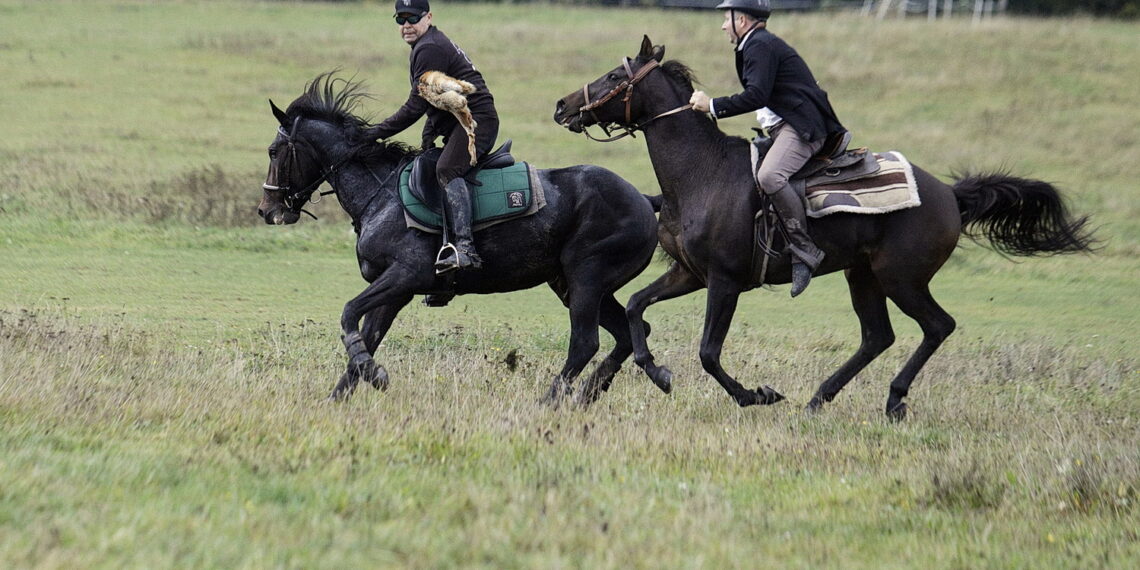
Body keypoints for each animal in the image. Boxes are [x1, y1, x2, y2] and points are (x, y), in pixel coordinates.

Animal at [254, 73, 656, 405]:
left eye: (273, 152)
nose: (266, 209)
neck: (381, 194)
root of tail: (643, 199)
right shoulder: (394, 291)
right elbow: (366, 336)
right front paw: (341, 394)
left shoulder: (403, 277)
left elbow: (349, 313)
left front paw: (375, 373)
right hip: (574, 284)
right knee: (626, 334)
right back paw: (599, 391)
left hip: (586, 277)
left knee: (585, 342)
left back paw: (551, 400)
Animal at [551, 36, 1094, 419]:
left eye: (611, 75)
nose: (562, 106)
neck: (701, 172)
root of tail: (948, 194)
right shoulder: (690, 274)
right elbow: (637, 308)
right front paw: (658, 372)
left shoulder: (725, 282)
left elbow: (708, 353)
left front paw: (756, 395)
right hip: (863, 276)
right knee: (877, 337)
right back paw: (819, 399)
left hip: (902, 278)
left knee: (937, 326)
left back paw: (893, 399)